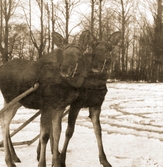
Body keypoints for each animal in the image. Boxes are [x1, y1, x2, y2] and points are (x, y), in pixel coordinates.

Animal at [0, 30, 93, 167]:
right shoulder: (47, 106)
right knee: (4, 123)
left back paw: (14, 156)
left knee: (5, 121)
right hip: (11, 98)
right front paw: (42, 163)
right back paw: (9, 161)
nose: (65, 70)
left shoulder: (60, 107)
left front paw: (56, 162)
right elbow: (45, 135)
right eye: (64, 55)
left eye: (79, 55)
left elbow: (57, 133)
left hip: (16, 102)